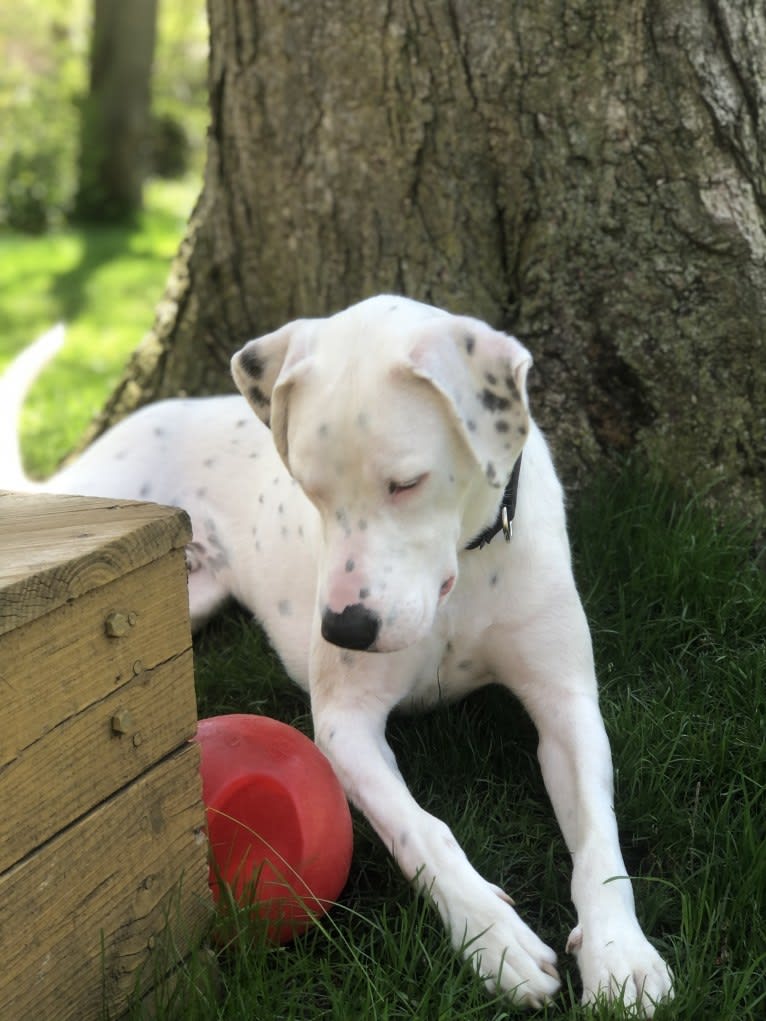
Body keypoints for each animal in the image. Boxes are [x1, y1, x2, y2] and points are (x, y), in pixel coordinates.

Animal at [1, 298, 669, 1012]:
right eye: (308, 487)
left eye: (406, 483)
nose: (344, 630)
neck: (461, 574)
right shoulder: (345, 724)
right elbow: (419, 827)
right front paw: (492, 935)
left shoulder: (567, 704)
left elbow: (599, 840)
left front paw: (620, 954)